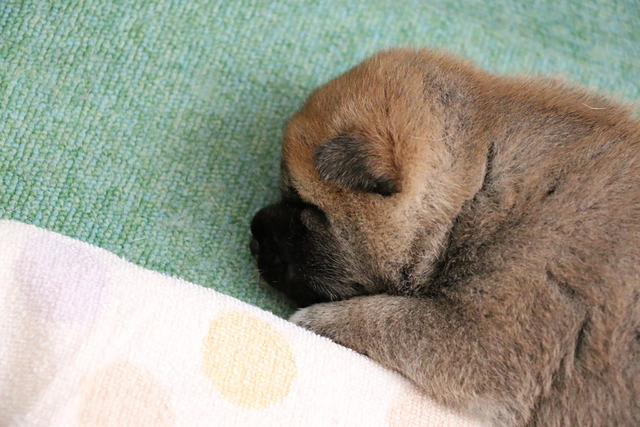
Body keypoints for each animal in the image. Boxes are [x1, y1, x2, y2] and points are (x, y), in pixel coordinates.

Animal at [249, 48, 640, 426]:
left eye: (304, 205)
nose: (254, 231)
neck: (480, 185)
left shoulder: (482, 334)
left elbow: (386, 318)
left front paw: (316, 320)